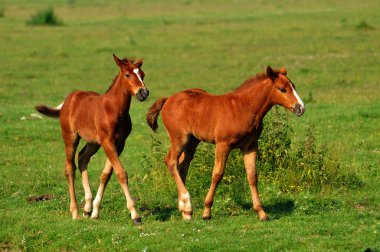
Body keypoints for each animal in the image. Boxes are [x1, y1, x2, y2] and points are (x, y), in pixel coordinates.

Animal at [35, 54, 148, 223]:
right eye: (128, 75)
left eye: (142, 74)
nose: (143, 93)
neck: (114, 109)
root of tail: (70, 98)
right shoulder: (107, 141)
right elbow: (121, 173)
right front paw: (135, 214)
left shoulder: (119, 143)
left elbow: (106, 174)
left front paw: (95, 211)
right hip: (71, 137)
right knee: (70, 168)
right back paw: (75, 211)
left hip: (93, 142)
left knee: (82, 158)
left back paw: (87, 208)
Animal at [146, 66, 306, 220]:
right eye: (282, 89)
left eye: (294, 86)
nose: (300, 108)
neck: (244, 108)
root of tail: (168, 99)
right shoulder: (223, 145)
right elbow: (217, 174)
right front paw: (206, 211)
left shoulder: (250, 146)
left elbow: (252, 176)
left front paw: (261, 212)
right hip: (179, 138)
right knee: (171, 162)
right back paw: (187, 205)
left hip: (192, 142)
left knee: (182, 166)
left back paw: (185, 210)